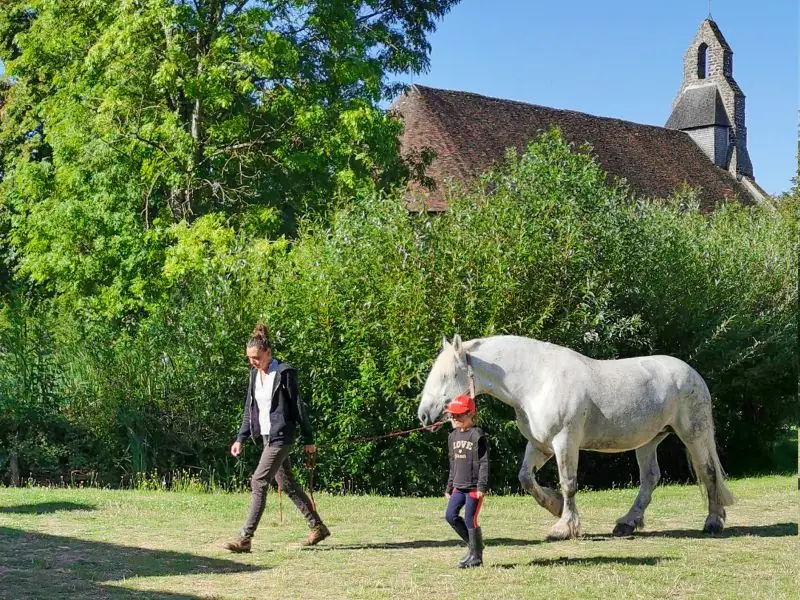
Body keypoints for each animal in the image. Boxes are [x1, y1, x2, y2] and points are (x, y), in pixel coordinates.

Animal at [417, 334, 733, 540]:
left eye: (446, 375)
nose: (423, 415)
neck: (537, 380)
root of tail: (692, 374)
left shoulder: (565, 441)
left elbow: (568, 484)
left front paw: (563, 527)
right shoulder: (540, 445)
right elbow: (526, 478)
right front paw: (555, 508)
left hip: (694, 434)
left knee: (708, 472)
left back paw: (713, 522)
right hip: (648, 441)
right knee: (650, 479)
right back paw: (627, 524)